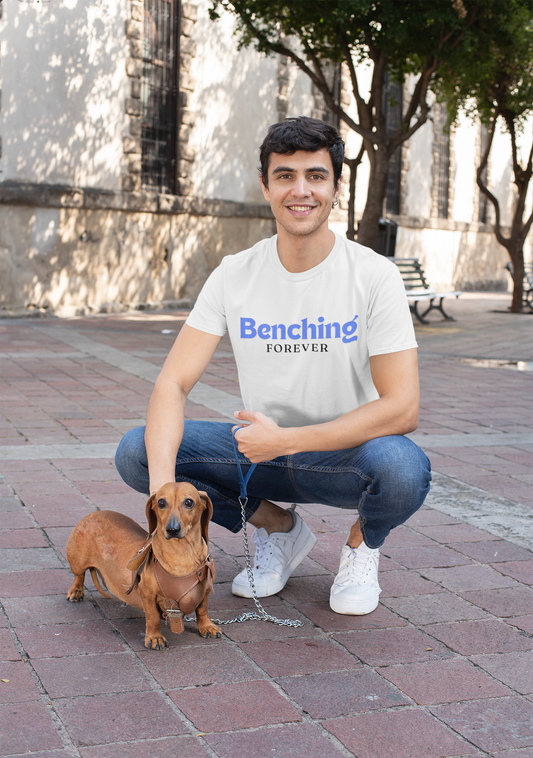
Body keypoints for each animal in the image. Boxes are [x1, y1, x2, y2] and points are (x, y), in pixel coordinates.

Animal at [66, 484, 220, 652]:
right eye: (161, 502)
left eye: (189, 502)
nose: (172, 529)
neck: (181, 555)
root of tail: (93, 514)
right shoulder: (147, 593)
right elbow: (153, 617)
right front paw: (154, 637)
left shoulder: (206, 590)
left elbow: (202, 610)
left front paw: (207, 626)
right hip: (78, 562)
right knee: (79, 576)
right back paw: (76, 592)